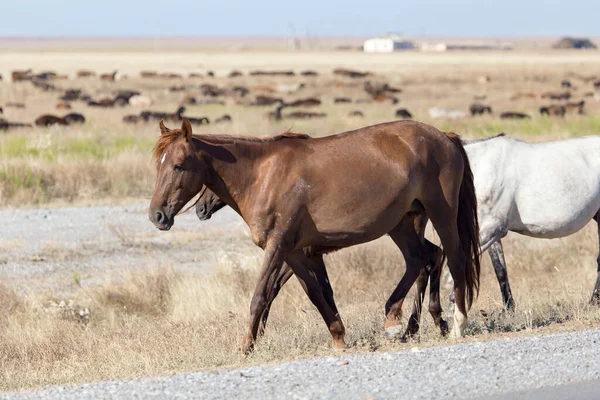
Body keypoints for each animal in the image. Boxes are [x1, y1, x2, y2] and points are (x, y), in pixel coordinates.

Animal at [150, 119, 482, 354]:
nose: (157, 216)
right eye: (159, 165)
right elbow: (317, 294)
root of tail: (444, 136)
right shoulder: (296, 252)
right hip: (401, 224)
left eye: (178, 165)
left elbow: (260, 296)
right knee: (421, 259)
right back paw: (398, 323)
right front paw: (339, 337)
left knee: (453, 258)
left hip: (440, 213)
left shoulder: (278, 247)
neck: (263, 175)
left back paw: (455, 325)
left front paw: (246, 346)